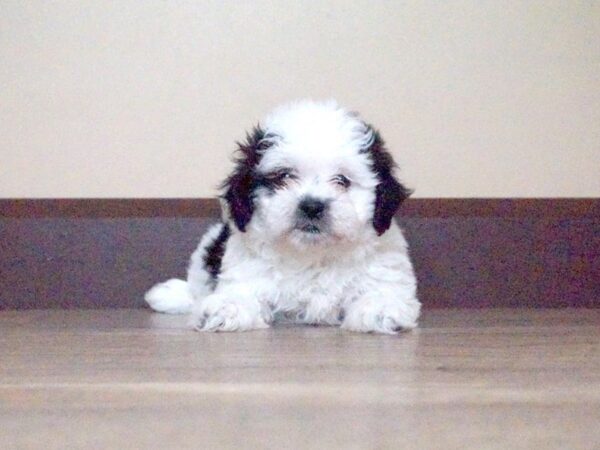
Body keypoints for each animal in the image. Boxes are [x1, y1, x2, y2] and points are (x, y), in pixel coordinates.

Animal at [144, 100, 422, 332]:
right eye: (284, 176)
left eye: (342, 180)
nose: (312, 206)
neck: (312, 255)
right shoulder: (247, 269)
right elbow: (240, 291)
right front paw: (226, 307)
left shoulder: (385, 268)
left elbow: (382, 290)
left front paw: (380, 309)